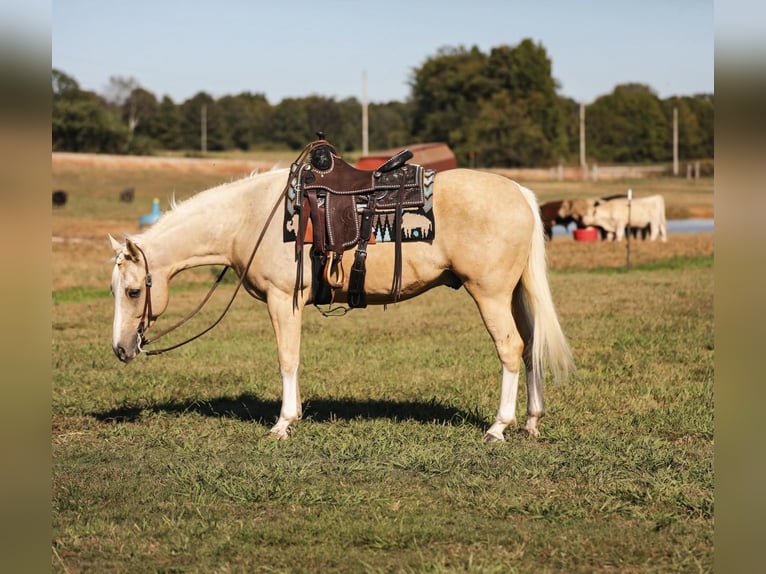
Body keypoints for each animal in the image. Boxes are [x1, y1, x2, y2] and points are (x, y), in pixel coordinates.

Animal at [109, 167, 573, 442]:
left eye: (132, 291)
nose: (121, 349)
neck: (250, 217)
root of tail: (519, 192)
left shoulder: (283, 299)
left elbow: (287, 358)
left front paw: (283, 422)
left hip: (490, 294)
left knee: (511, 348)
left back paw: (499, 427)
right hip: (515, 294)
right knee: (531, 347)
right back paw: (531, 420)